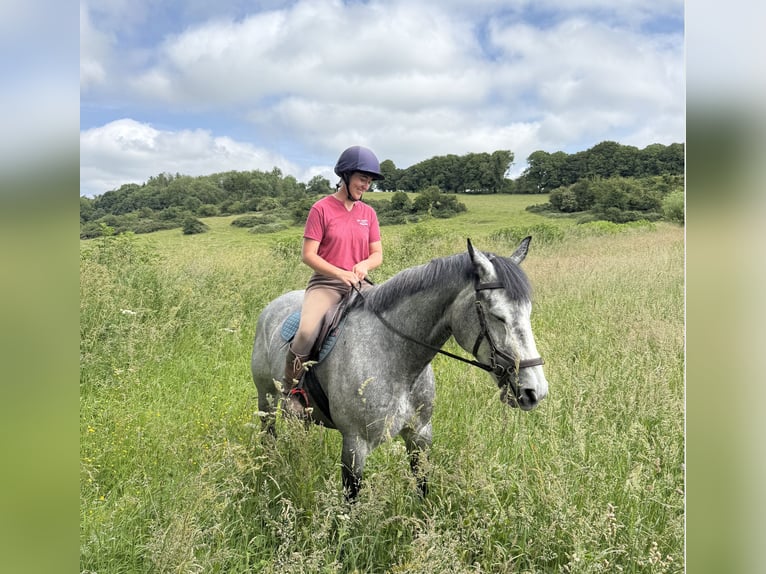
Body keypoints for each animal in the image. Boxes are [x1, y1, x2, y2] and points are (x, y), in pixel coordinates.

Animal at [251, 237, 548, 500]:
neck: (395, 358)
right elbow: (350, 501)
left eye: (528, 311)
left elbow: (422, 486)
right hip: (267, 399)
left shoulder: (420, 435)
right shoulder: (355, 445)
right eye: (498, 316)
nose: (535, 391)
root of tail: (272, 306)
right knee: (268, 434)